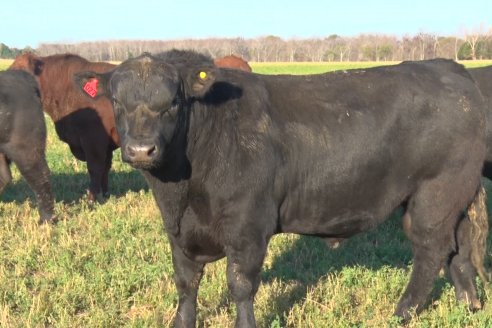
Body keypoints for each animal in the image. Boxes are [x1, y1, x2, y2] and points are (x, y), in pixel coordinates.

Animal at [10, 53, 117, 202]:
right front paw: (105, 194)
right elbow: (106, 168)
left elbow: (95, 168)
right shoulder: (105, 144)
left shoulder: (94, 140)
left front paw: (91, 199)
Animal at [76, 55, 488, 326]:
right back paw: (469, 304)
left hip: (434, 197)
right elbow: (186, 283)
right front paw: (181, 322)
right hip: (454, 200)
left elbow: (241, 285)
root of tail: (451, 69)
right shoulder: (179, 234)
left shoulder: (247, 228)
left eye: (173, 102)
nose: (141, 150)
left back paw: (402, 312)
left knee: (430, 251)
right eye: (117, 101)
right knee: (458, 250)